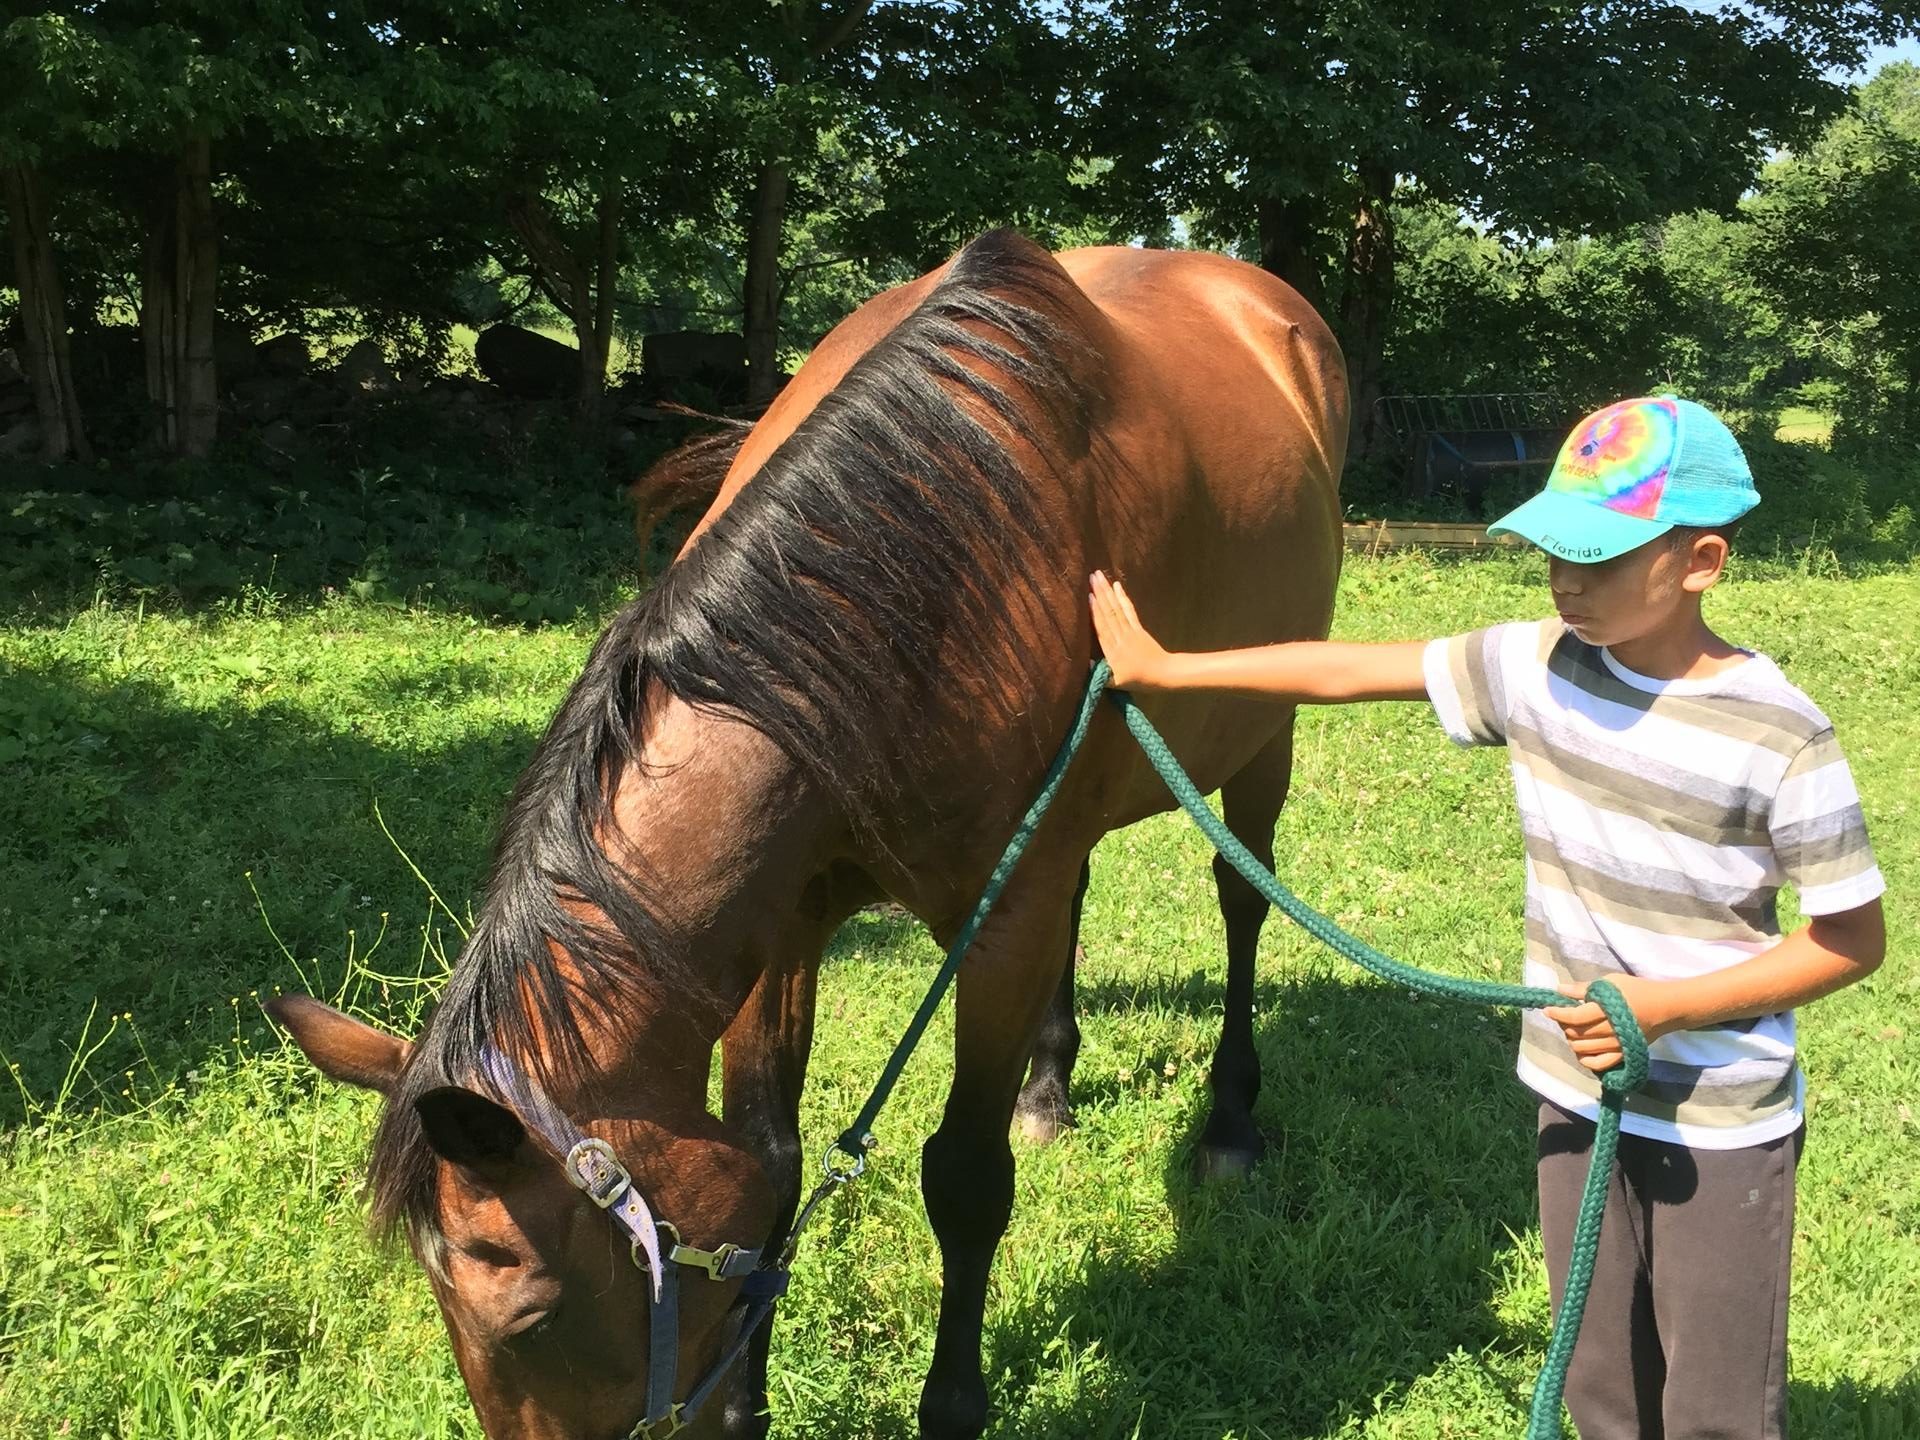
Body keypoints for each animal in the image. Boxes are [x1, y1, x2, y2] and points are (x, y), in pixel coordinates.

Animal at [269, 229, 1347, 1440]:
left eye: (531, 1320)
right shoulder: (784, 927)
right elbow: (772, 1163)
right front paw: (748, 1401)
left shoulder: (999, 925)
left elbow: (964, 1179)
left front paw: (952, 1404)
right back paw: (1050, 1090)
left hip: (1262, 737)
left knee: (1243, 900)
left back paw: (1230, 1123)